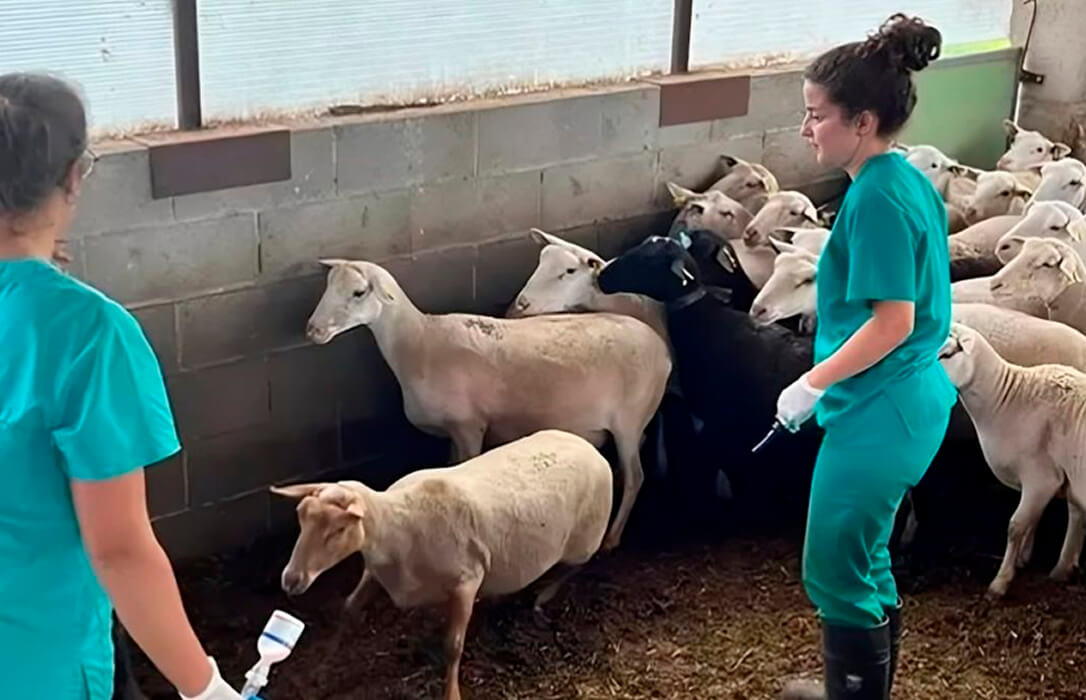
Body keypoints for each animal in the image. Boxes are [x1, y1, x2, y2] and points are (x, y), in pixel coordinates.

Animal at [306, 259, 673, 549]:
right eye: (327, 288)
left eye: (358, 293)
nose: (313, 330)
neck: (420, 343)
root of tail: (662, 348)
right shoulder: (454, 432)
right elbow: (449, 465)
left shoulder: (469, 426)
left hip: (629, 419)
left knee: (637, 475)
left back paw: (612, 537)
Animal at [933, 325, 1086, 599]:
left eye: (947, 354)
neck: (1006, 399)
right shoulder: (1059, 478)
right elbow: (1037, 519)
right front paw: (1026, 559)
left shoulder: (1042, 477)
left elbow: (1015, 526)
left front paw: (1000, 582)